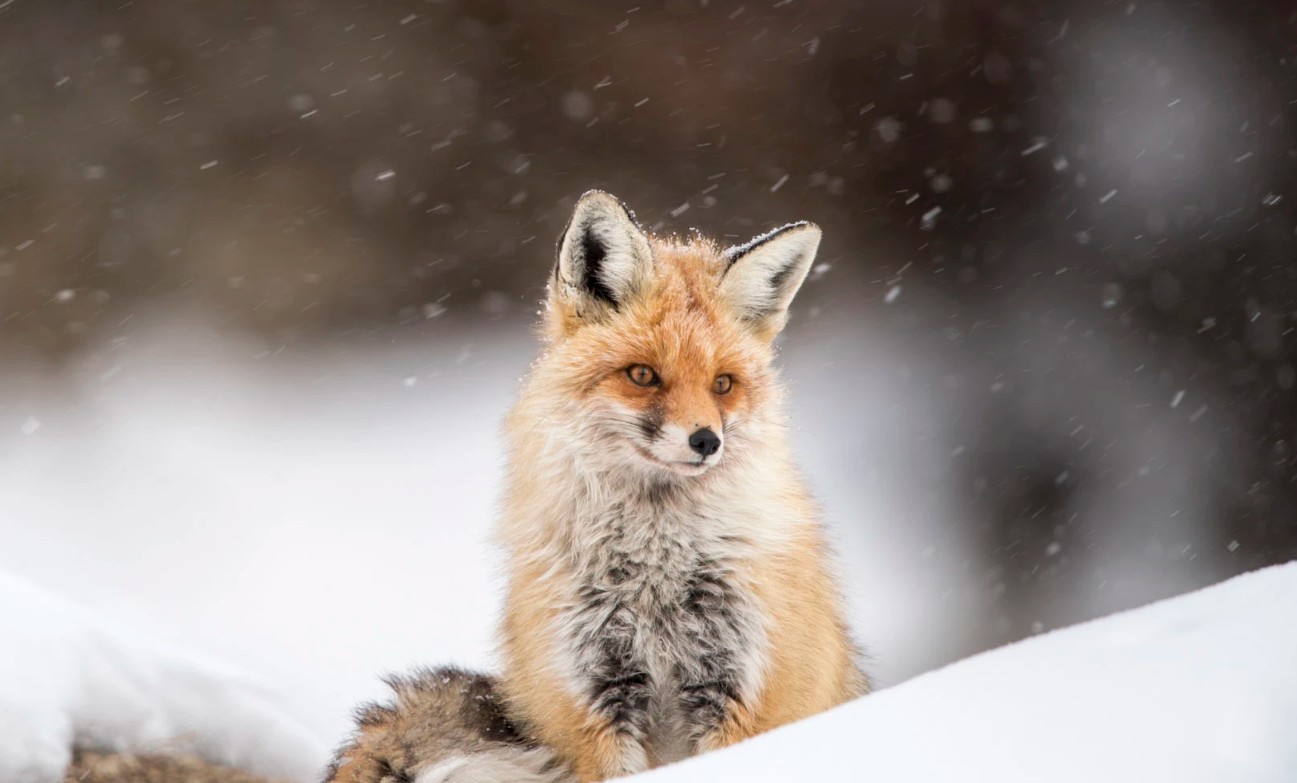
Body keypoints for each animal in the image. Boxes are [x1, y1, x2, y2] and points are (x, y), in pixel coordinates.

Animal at [325, 191, 866, 783]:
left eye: (723, 384)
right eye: (643, 375)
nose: (707, 441)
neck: (658, 567)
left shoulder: (742, 688)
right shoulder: (594, 700)